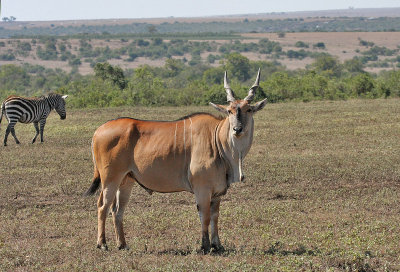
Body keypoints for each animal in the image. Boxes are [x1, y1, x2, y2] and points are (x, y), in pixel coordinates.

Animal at [86, 69, 268, 253]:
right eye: (229, 111)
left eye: (249, 110)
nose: (237, 129)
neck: (217, 138)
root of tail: (98, 131)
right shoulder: (202, 189)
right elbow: (205, 217)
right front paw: (205, 246)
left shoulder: (217, 193)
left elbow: (215, 217)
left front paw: (217, 245)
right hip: (110, 179)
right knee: (102, 206)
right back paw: (102, 243)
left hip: (126, 180)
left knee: (117, 210)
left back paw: (122, 244)